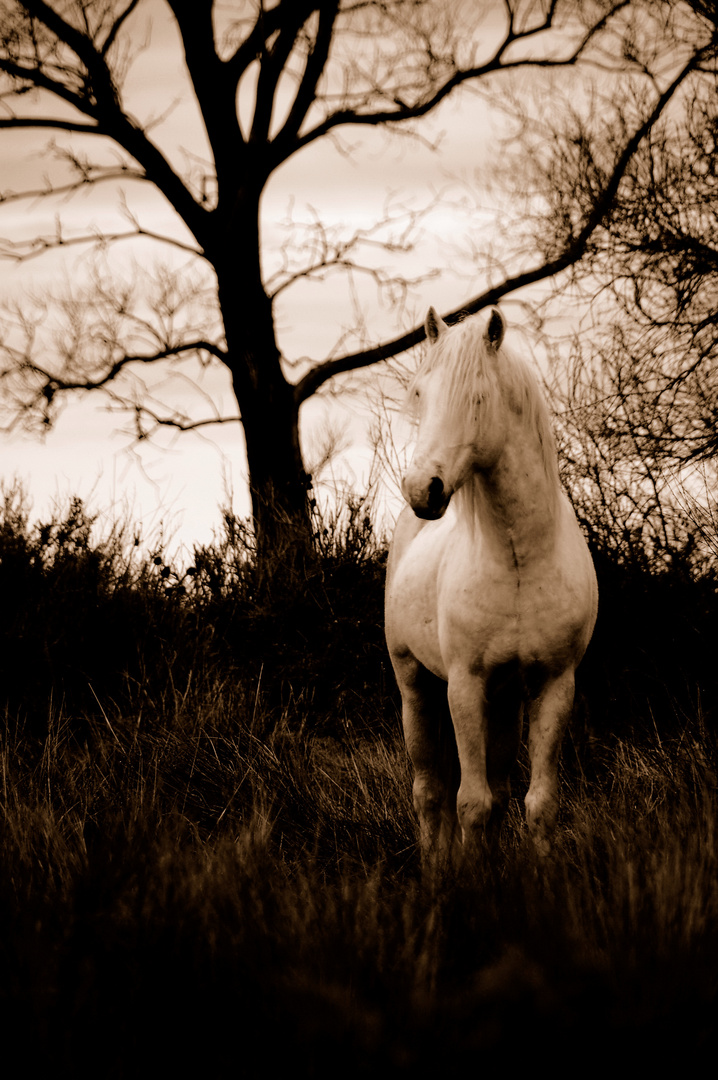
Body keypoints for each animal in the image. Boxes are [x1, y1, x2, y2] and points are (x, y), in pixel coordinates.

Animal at [384, 308, 595, 864]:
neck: (519, 558)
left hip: (504, 701)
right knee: (430, 792)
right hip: (415, 686)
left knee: (497, 791)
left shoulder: (553, 685)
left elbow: (536, 802)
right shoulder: (464, 684)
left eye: (477, 398)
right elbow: (470, 803)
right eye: (420, 393)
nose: (422, 490)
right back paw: (436, 868)